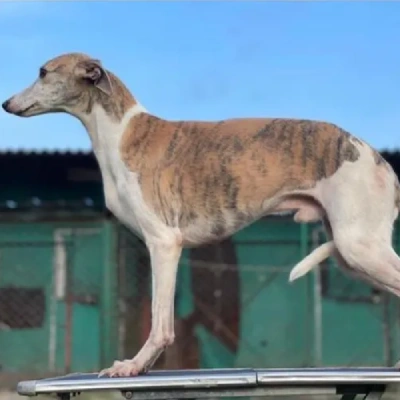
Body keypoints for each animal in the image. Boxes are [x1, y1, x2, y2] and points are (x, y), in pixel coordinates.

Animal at [3, 52, 400, 376]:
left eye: (43, 72)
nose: (6, 103)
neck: (121, 134)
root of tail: (379, 161)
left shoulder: (164, 243)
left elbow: (161, 324)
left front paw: (133, 365)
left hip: (361, 248)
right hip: (353, 255)